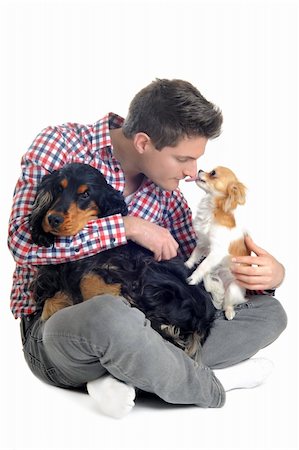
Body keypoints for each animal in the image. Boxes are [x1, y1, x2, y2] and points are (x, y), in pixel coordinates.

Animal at [29, 162, 214, 358]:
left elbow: (88, 281)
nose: (53, 219)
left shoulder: (125, 268)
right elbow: (49, 305)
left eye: (85, 194)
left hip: (152, 272)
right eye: (58, 188)